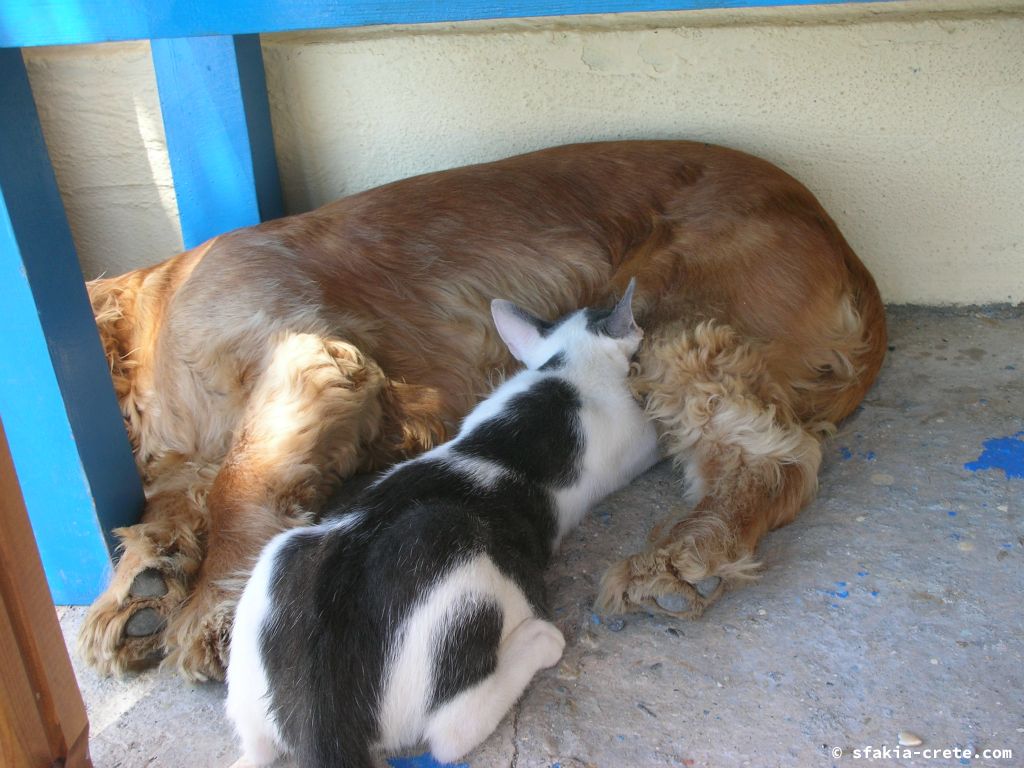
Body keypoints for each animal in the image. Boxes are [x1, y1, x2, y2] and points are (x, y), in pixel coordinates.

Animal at [79, 141, 884, 684]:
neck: (151, 319)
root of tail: (838, 233)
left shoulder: (300, 355)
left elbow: (235, 484)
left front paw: (208, 609)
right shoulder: (193, 446)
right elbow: (168, 502)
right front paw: (139, 591)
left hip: (668, 316)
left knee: (775, 457)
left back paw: (684, 555)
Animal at [223, 280, 655, 768]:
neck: (567, 369)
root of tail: (323, 718)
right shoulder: (634, 436)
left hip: (280, 558)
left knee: (254, 743)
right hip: (465, 567)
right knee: (450, 732)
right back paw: (539, 642)